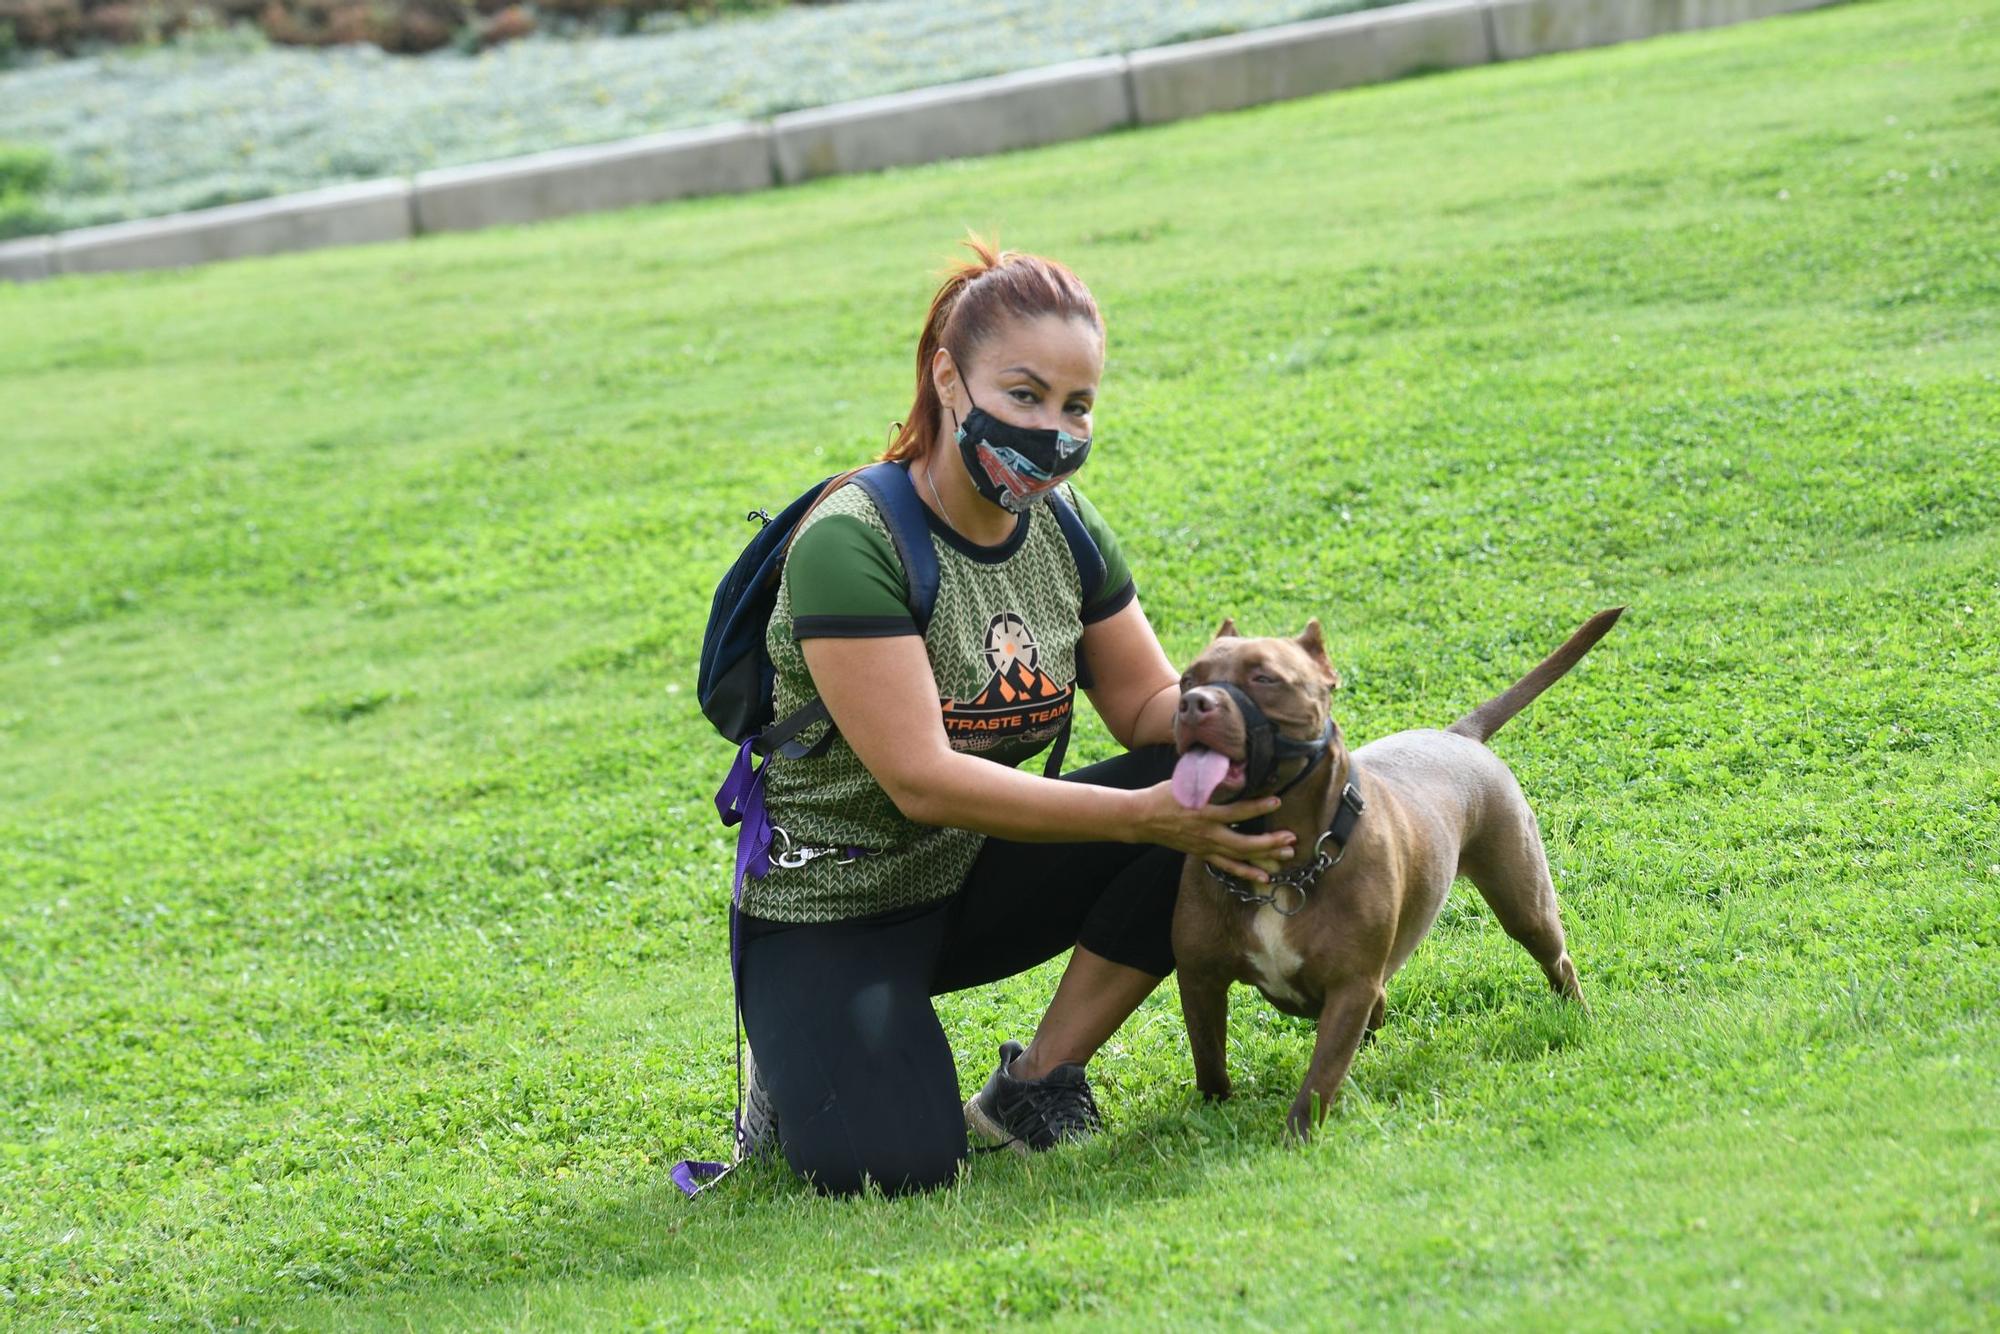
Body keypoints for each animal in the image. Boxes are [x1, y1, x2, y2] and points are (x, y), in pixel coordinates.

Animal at [1168, 612, 1616, 1144]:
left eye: (1265, 678)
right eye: (1187, 679)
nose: (1194, 703)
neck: (1286, 871)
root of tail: (1459, 735)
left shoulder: (1350, 987)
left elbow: (1320, 1077)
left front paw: (1297, 1137)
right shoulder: (1200, 977)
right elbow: (1209, 1059)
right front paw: (1212, 1114)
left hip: (1524, 903)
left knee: (1557, 960)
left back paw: (1578, 1013)